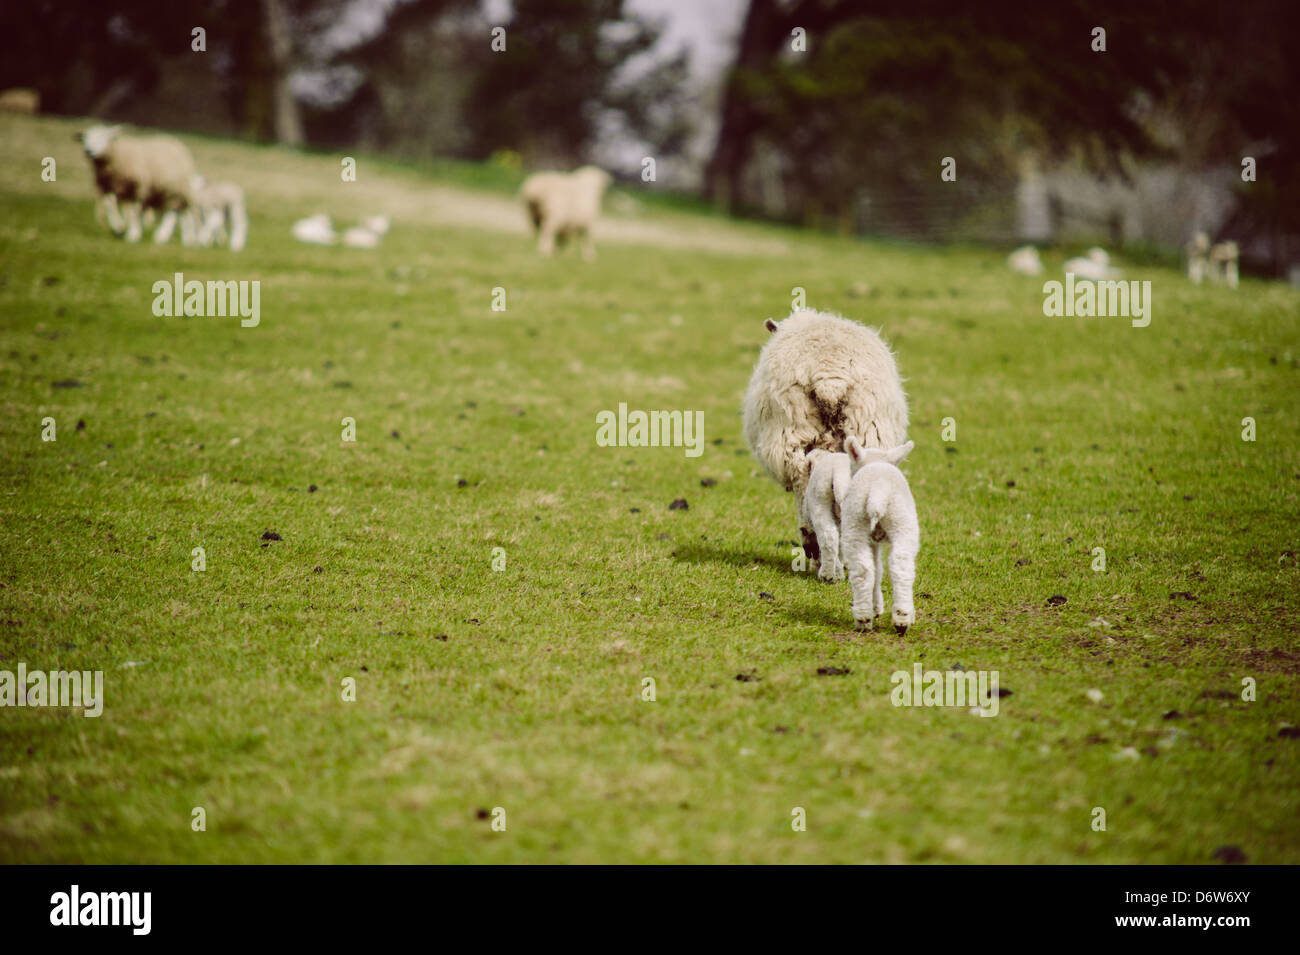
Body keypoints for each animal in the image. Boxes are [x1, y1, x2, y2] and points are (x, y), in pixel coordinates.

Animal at [790, 449, 852, 582]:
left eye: (803, 531)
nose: (809, 553)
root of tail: (839, 474)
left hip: (819, 503)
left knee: (829, 537)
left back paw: (827, 575)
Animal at [837, 439, 920, 634]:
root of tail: (878, 491)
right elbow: (879, 570)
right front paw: (877, 607)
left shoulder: (872, 541)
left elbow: (877, 569)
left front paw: (875, 607)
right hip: (901, 524)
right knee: (898, 566)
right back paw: (897, 618)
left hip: (858, 523)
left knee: (867, 570)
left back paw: (873, 619)